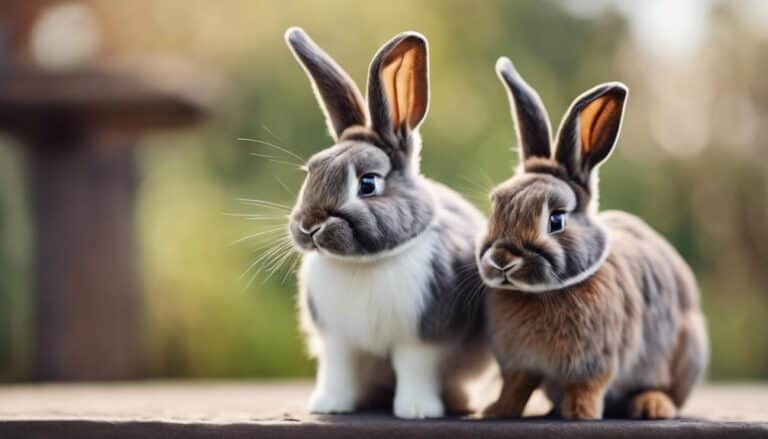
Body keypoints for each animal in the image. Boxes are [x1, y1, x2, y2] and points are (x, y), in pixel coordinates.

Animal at [283, 27, 491, 419]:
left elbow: (415, 371)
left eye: (368, 183)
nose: (310, 226)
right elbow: (338, 371)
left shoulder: (421, 340)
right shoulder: (336, 341)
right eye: (310, 172)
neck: (363, 264)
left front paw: (418, 410)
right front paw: (329, 406)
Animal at [476, 57, 708, 420]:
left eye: (556, 219)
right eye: (495, 206)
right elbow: (516, 387)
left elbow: (587, 386)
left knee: (669, 391)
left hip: (687, 351)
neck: (540, 294)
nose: (502, 261)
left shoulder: (597, 361)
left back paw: (652, 406)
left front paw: (578, 413)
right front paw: (497, 411)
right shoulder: (520, 364)